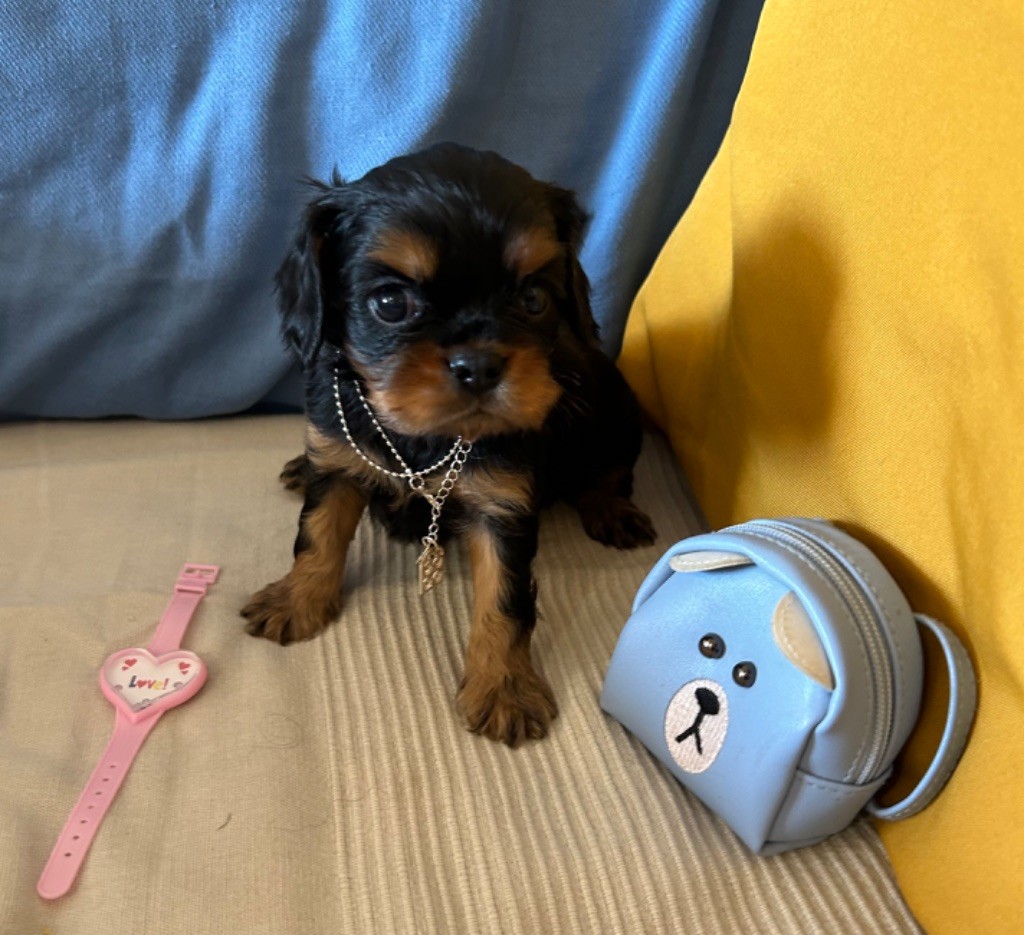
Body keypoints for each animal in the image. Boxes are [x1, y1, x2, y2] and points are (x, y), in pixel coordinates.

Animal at [243, 144, 651, 745]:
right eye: (390, 303)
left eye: (533, 297)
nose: (478, 365)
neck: (421, 440)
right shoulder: (337, 460)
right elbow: (317, 534)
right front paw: (296, 598)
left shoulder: (503, 505)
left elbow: (504, 597)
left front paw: (504, 687)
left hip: (617, 409)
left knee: (613, 469)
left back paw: (611, 509)